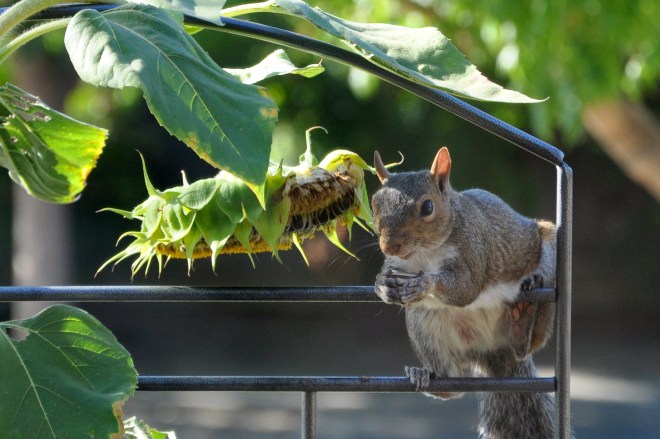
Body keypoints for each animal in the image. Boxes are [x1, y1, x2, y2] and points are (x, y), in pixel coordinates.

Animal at [372, 147, 561, 439]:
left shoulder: (473, 250)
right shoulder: (397, 265)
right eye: (374, 203)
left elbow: (465, 290)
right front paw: (381, 285)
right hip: (424, 325)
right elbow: (387, 276)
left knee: (529, 344)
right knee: (453, 385)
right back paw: (425, 376)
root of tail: (489, 349)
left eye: (427, 207)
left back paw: (525, 311)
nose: (390, 246)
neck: (426, 253)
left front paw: (425, 284)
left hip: (546, 258)